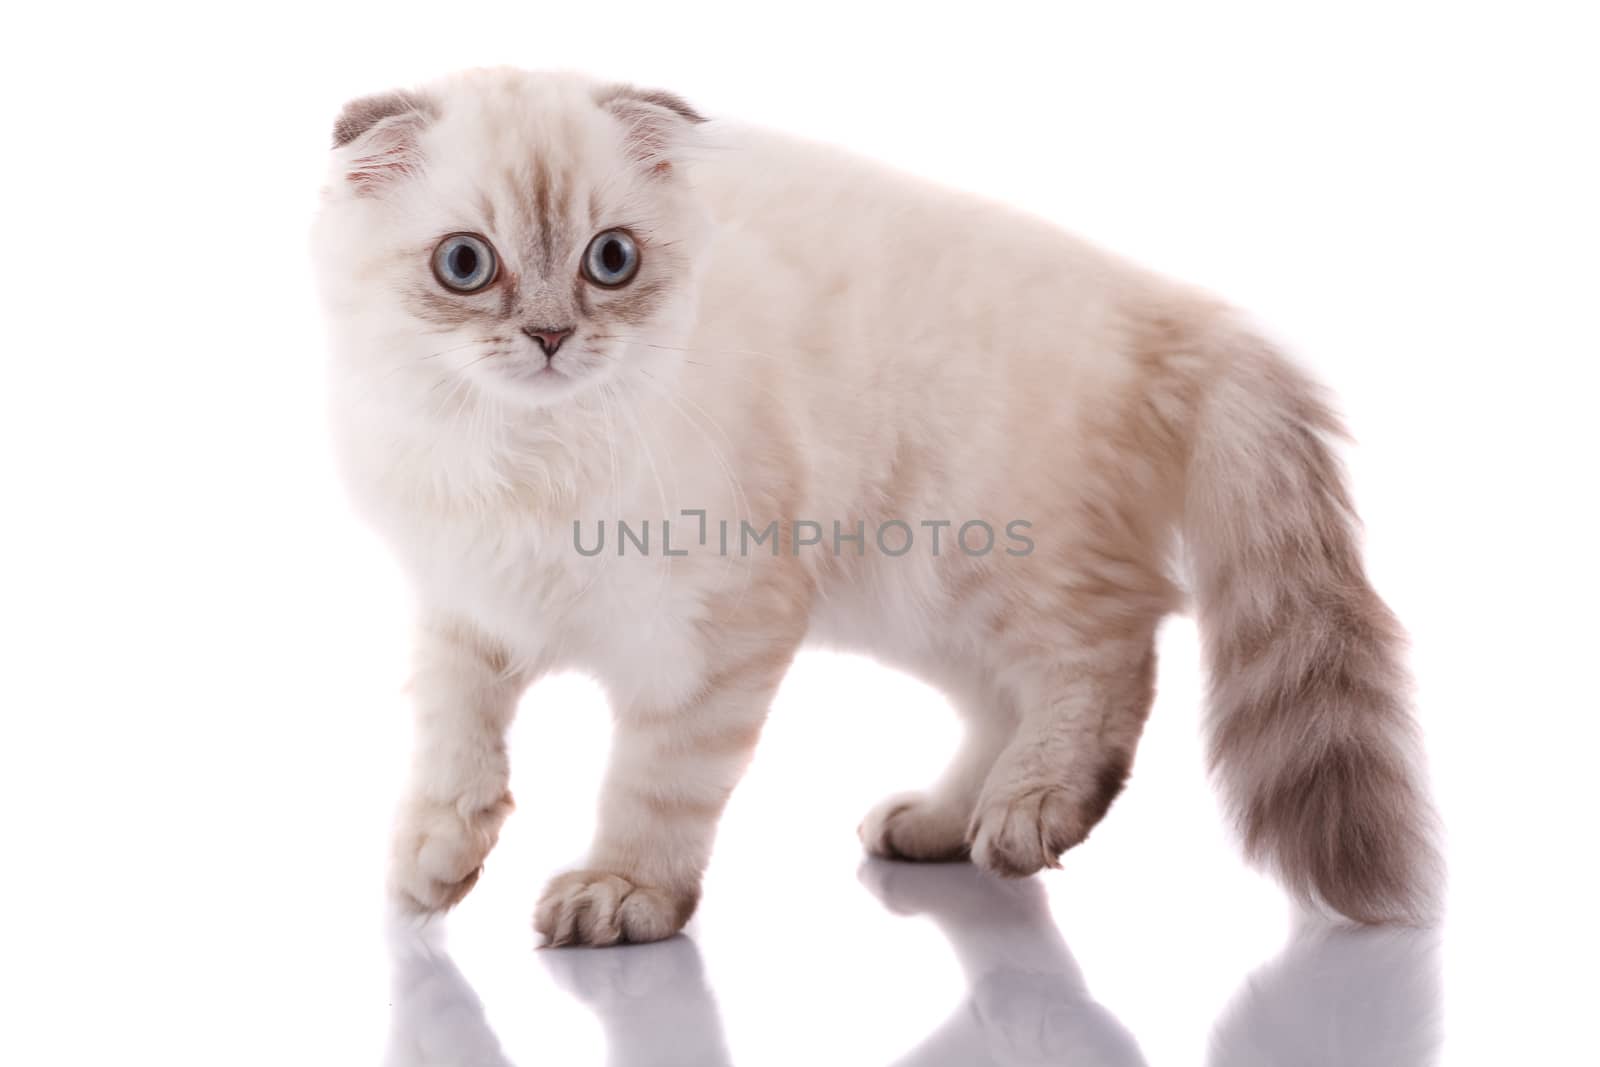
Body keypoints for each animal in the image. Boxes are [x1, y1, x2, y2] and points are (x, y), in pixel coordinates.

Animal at [312, 70, 1440, 947]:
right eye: (466, 265)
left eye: (610, 260)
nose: (549, 337)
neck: (529, 453)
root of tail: (1168, 307)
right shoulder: (468, 606)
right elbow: (454, 740)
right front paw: (433, 857)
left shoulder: (712, 631)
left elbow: (655, 779)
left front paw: (624, 890)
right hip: (918, 598)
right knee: (1007, 699)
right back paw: (945, 819)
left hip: (981, 559)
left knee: (1111, 656)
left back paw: (1032, 810)